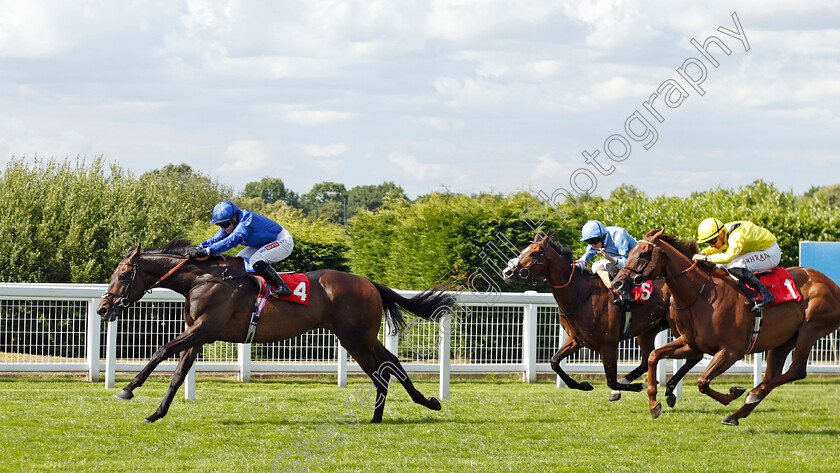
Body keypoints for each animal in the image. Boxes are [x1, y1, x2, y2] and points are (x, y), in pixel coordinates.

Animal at [95, 240, 456, 424]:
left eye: (123, 275)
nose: (102, 308)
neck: (204, 280)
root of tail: (369, 282)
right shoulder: (198, 335)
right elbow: (179, 373)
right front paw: (156, 413)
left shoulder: (204, 329)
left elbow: (161, 351)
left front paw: (127, 389)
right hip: (357, 338)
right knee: (389, 364)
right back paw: (398, 411)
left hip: (356, 337)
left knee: (386, 366)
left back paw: (414, 406)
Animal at [502, 232, 700, 402]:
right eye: (523, 251)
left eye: (534, 253)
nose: (507, 272)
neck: (581, 295)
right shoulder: (577, 339)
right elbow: (554, 362)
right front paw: (584, 385)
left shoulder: (608, 344)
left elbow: (611, 381)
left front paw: (632, 387)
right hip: (648, 330)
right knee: (646, 360)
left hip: (679, 328)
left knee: (693, 356)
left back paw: (667, 389)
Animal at [612, 229, 840, 424]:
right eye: (630, 252)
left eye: (642, 254)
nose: (617, 283)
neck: (702, 294)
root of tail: (833, 285)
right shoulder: (691, 344)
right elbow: (653, 356)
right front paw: (654, 403)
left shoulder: (731, 351)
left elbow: (702, 382)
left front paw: (733, 393)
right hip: (783, 341)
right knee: (774, 375)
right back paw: (739, 412)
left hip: (810, 330)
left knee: (796, 371)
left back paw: (752, 394)